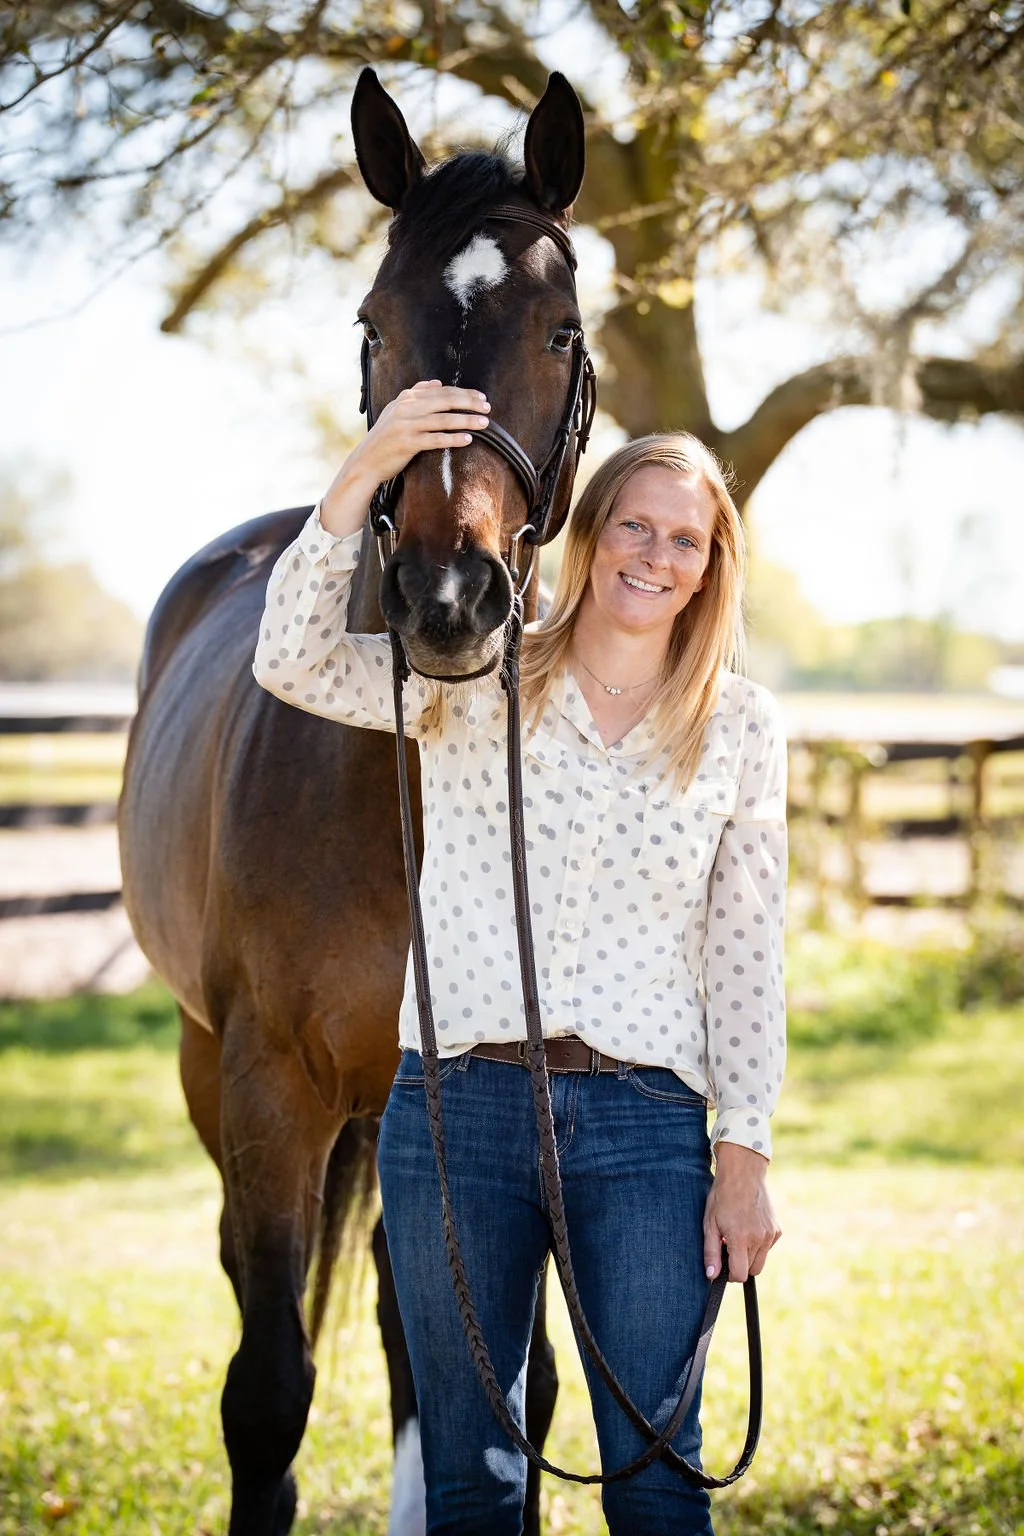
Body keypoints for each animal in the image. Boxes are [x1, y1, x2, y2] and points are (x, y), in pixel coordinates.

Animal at [118, 68, 590, 1536]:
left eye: (560, 328)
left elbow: (509, 1391)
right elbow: (267, 1387)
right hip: (214, 1064)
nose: (448, 600)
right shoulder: (270, 1090)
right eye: (375, 326)